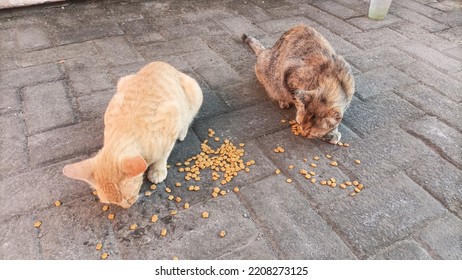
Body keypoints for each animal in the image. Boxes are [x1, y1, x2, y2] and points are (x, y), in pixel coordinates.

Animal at [62, 62, 202, 209]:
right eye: (113, 203)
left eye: (128, 198)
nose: (127, 207)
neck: (125, 131)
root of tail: (160, 62)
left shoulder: (172, 118)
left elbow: (163, 155)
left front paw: (157, 170)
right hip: (123, 80)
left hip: (195, 92)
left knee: (188, 117)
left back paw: (183, 131)